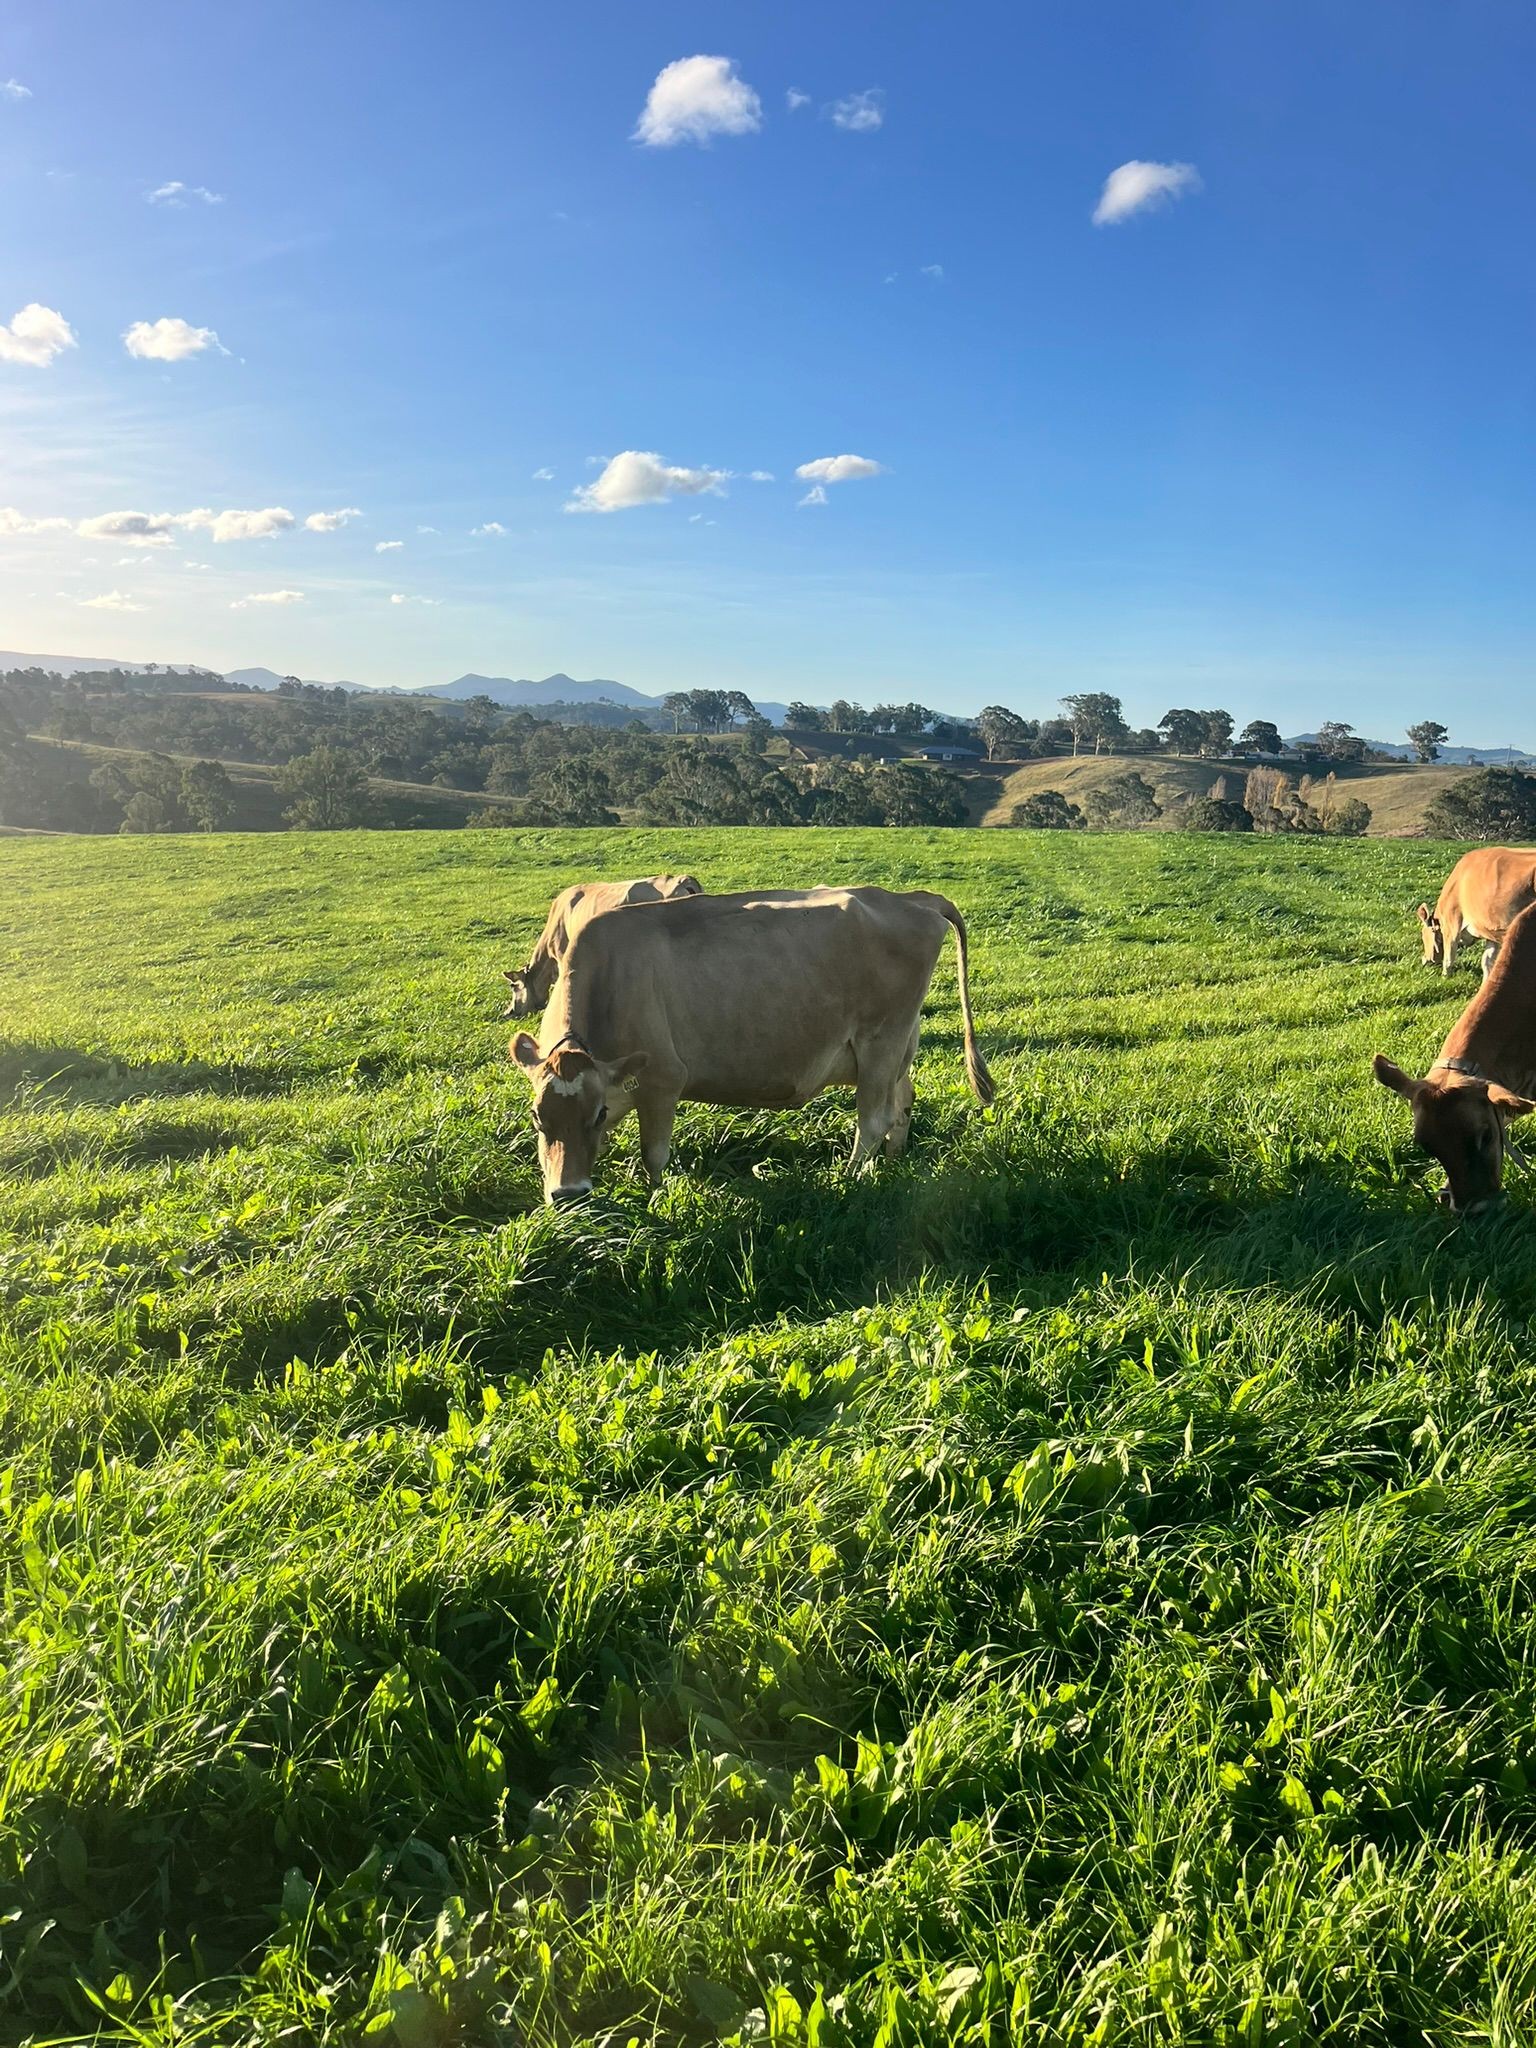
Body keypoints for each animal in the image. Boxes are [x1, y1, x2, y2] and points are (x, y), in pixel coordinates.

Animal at [509, 885, 995, 1203]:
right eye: (535, 1117)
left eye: (595, 1113)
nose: (567, 1194)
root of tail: (911, 898)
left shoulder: (663, 1080)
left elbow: (654, 1157)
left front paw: (655, 1202)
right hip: (899, 1044)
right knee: (902, 1101)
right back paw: (893, 1163)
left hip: (880, 1040)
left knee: (873, 1120)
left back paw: (850, 1179)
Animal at [1416, 847, 1536, 979]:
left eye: (1423, 935)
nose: (1423, 960)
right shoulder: (1492, 931)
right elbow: (1487, 961)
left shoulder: (1451, 924)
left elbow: (1448, 958)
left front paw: (1445, 977)